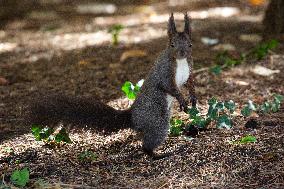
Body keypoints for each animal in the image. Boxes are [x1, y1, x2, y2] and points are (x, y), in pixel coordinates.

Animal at [26, 12, 196, 159]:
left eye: (190, 44)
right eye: (172, 45)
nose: (182, 53)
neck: (180, 62)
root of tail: (132, 117)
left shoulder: (189, 70)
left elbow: (190, 84)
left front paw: (193, 99)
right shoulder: (165, 72)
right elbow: (169, 87)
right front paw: (182, 99)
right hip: (156, 120)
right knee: (148, 143)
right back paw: (158, 154)